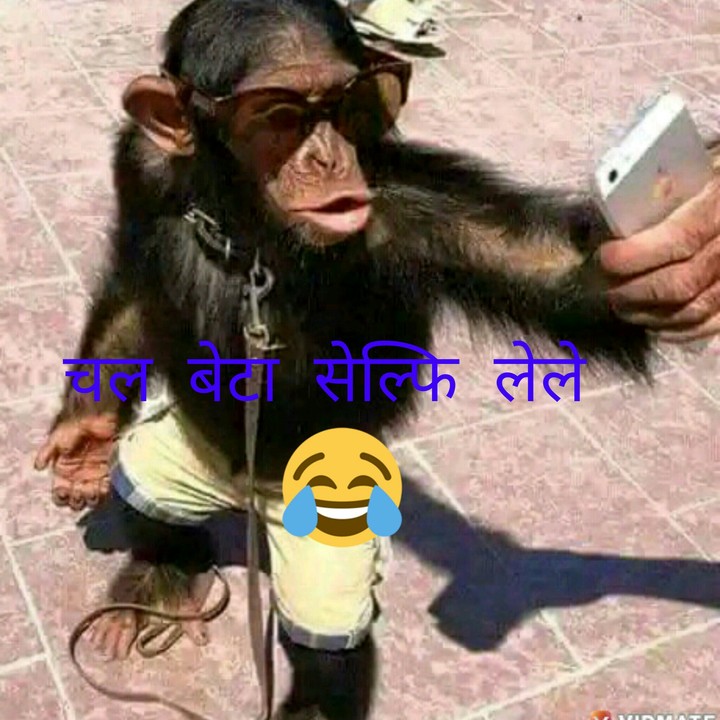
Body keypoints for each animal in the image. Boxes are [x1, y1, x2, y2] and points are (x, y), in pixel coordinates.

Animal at [33, 0, 660, 718]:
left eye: (353, 104)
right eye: (277, 118)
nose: (328, 155)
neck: (251, 228)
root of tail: (246, 495)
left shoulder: (416, 207)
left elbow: (551, 267)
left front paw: (686, 246)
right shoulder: (141, 164)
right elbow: (138, 279)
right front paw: (84, 429)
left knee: (323, 635)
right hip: (180, 459)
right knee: (148, 497)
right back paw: (162, 577)